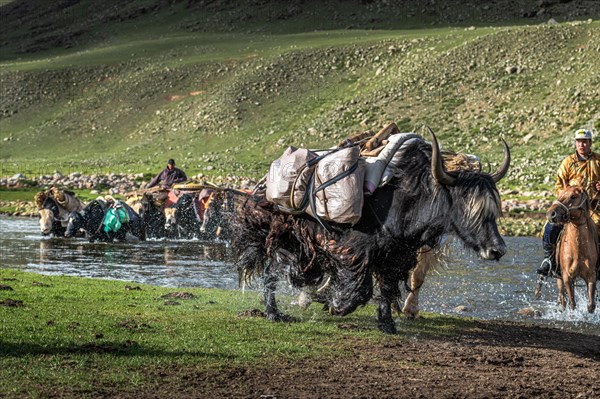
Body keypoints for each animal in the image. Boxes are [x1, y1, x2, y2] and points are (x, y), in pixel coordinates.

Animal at [232, 130, 508, 332]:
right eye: (467, 206)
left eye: (493, 211)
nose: (497, 250)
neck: (409, 198)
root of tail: (264, 188)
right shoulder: (358, 249)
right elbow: (363, 286)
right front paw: (336, 305)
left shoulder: (398, 253)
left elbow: (387, 287)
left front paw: (387, 323)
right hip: (290, 240)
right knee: (272, 270)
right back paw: (274, 313)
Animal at [548, 186, 596, 314]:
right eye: (560, 194)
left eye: (573, 196)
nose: (550, 214)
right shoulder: (567, 277)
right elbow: (572, 304)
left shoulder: (591, 276)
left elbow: (591, 306)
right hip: (559, 279)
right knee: (563, 300)